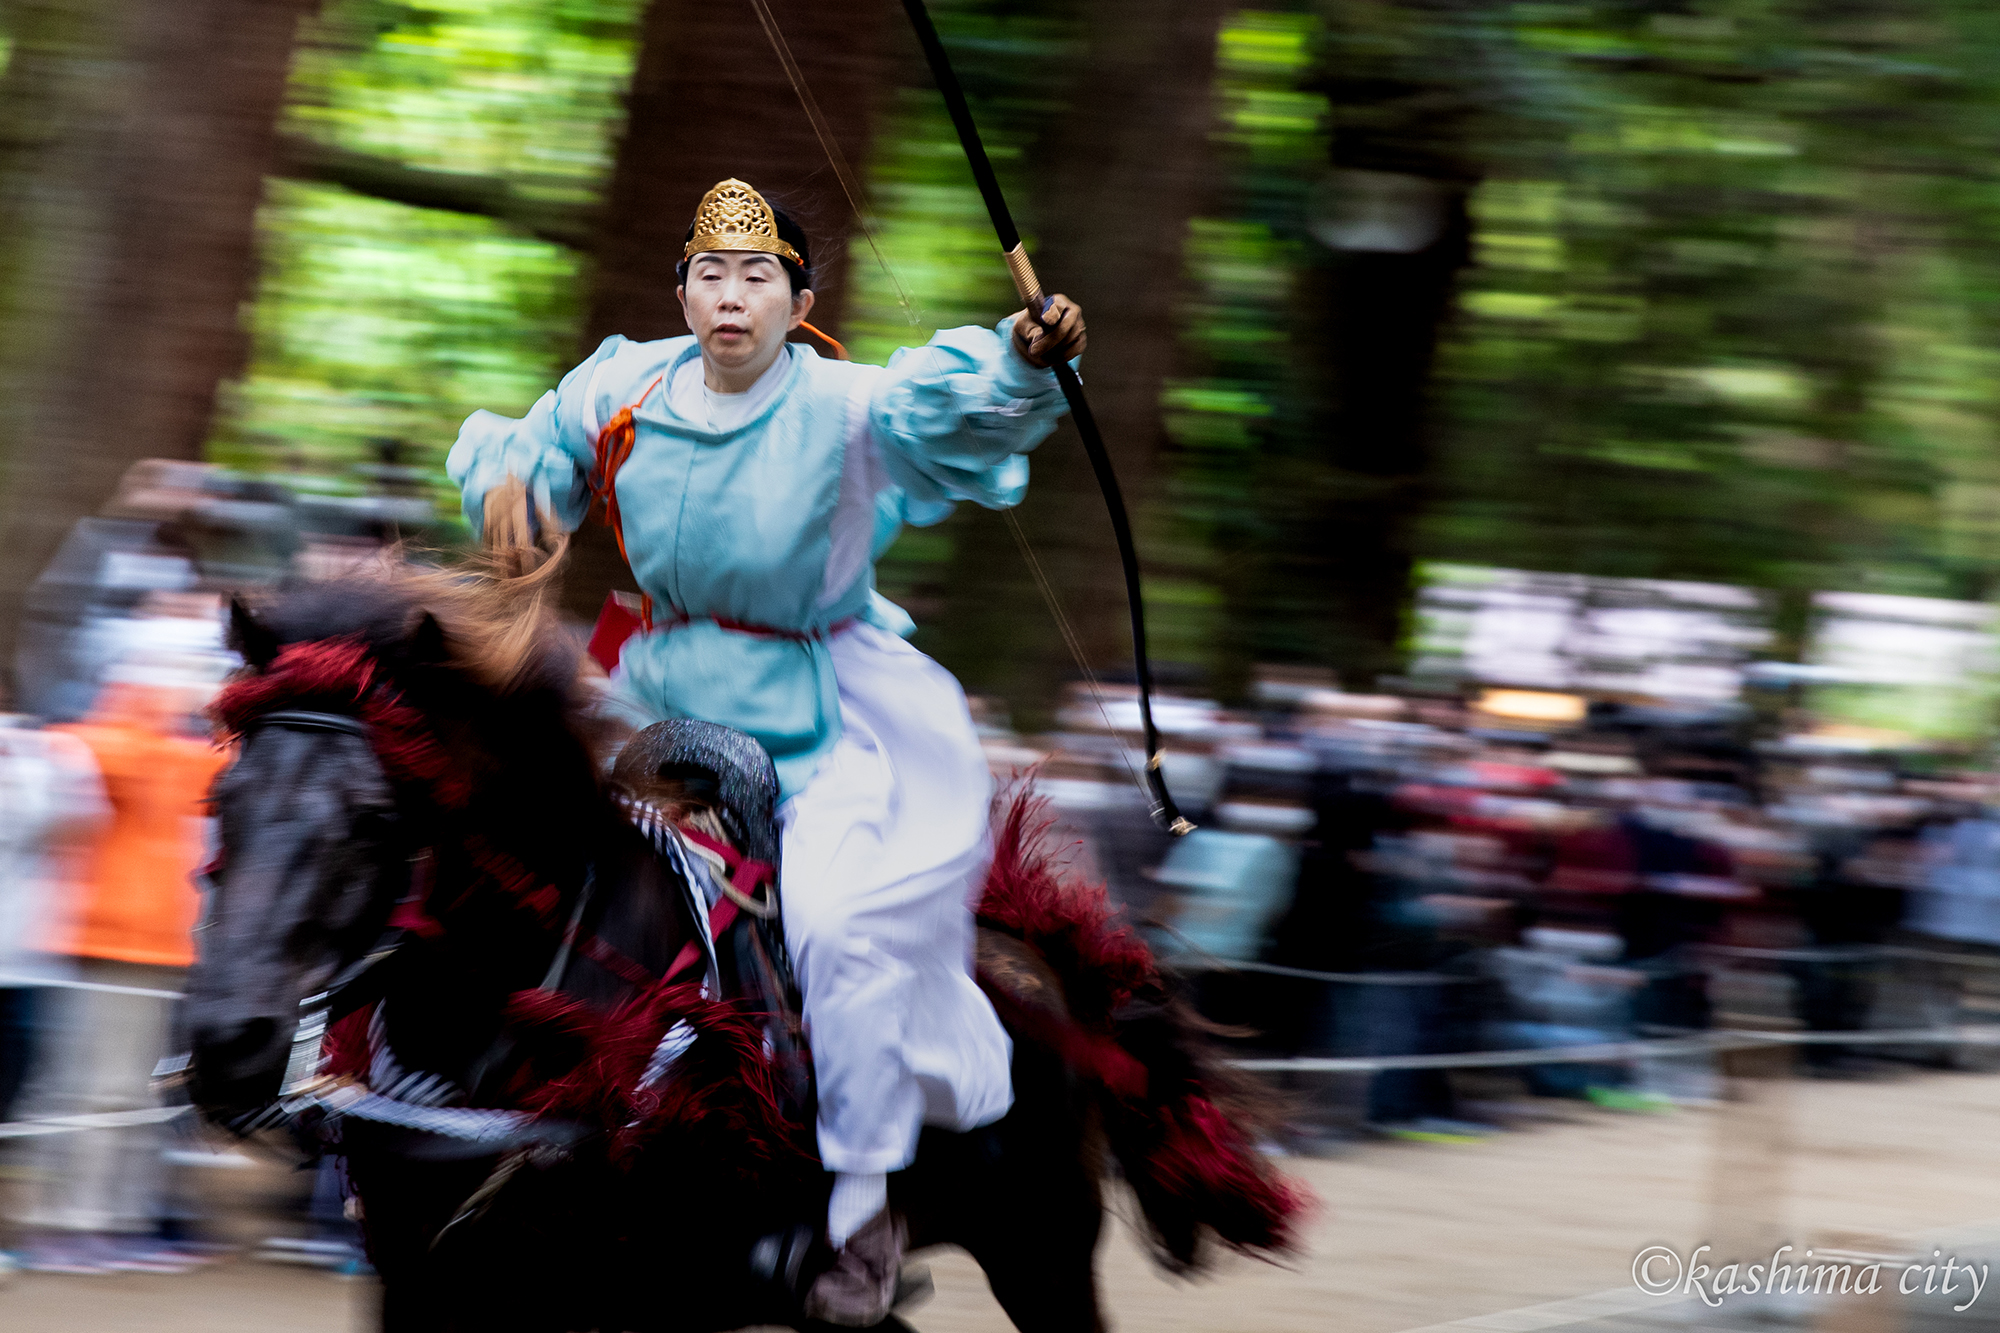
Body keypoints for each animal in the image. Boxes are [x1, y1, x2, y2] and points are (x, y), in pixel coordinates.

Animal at [180, 556, 1304, 1320]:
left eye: (374, 820)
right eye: (222, 799)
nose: (226, 1041)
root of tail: (1043, 971)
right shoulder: (430, 1283)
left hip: (1042, 1247)